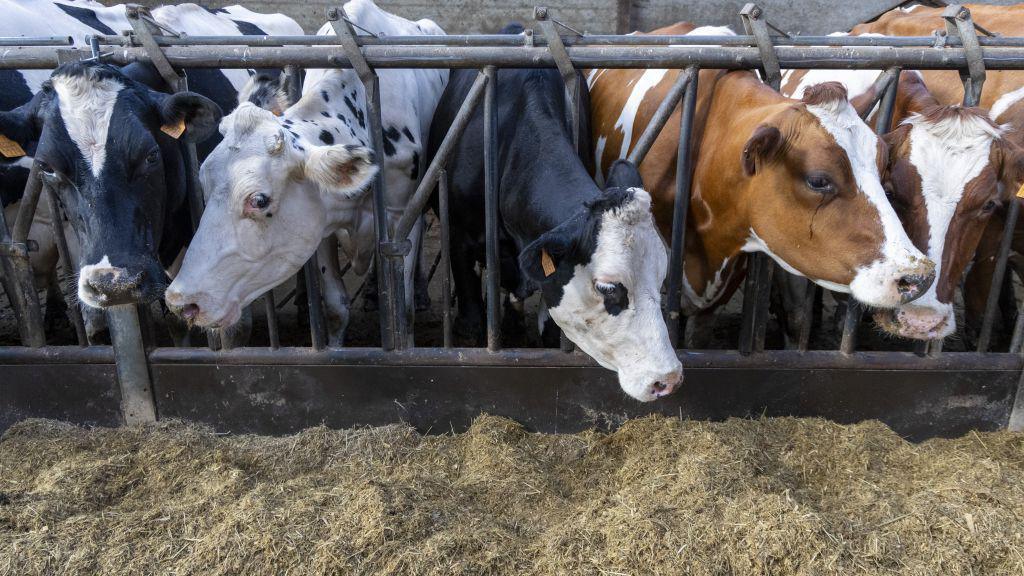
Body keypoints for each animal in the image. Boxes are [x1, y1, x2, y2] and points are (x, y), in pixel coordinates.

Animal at [166, 0, 448, 344]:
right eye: (204, 186)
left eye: (259, 200)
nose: (180, 301)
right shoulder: (322, 225)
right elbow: (336, 308)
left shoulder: (400, 216)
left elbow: (402, 309)